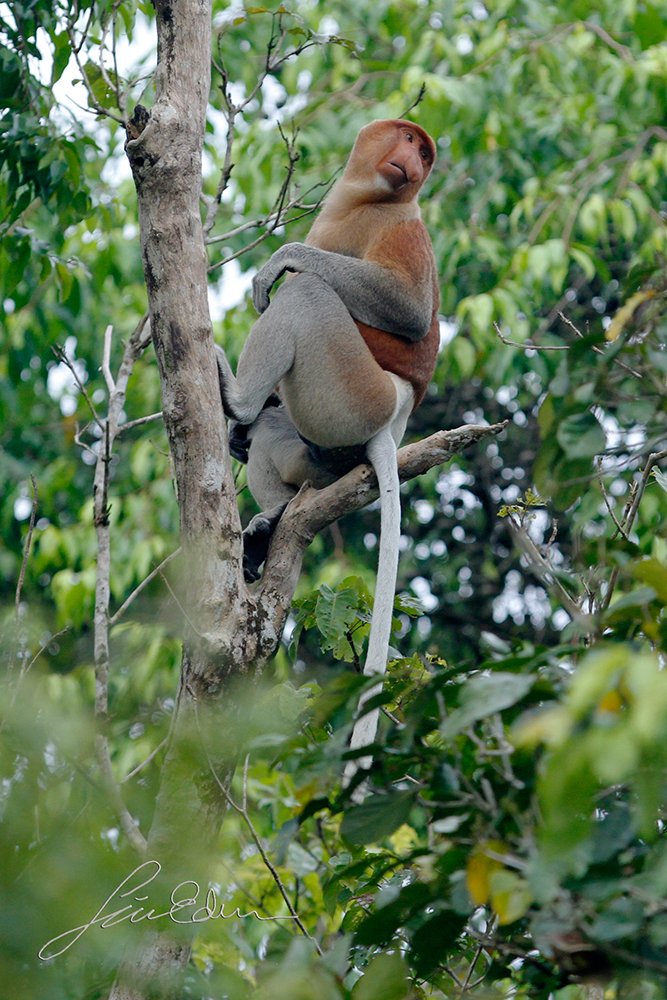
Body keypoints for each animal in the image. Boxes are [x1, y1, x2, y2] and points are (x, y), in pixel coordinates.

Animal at [216, 119, 439, 784]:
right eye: (409, 139)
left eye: (424, 150)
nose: (413, 161)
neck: (363, 201)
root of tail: (392, 427)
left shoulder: (404, 226)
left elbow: (409, 311)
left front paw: (280, 262)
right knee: (274, 437)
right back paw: (268, 517)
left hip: (352, 392)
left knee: (310, 296)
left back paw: (236, 400)